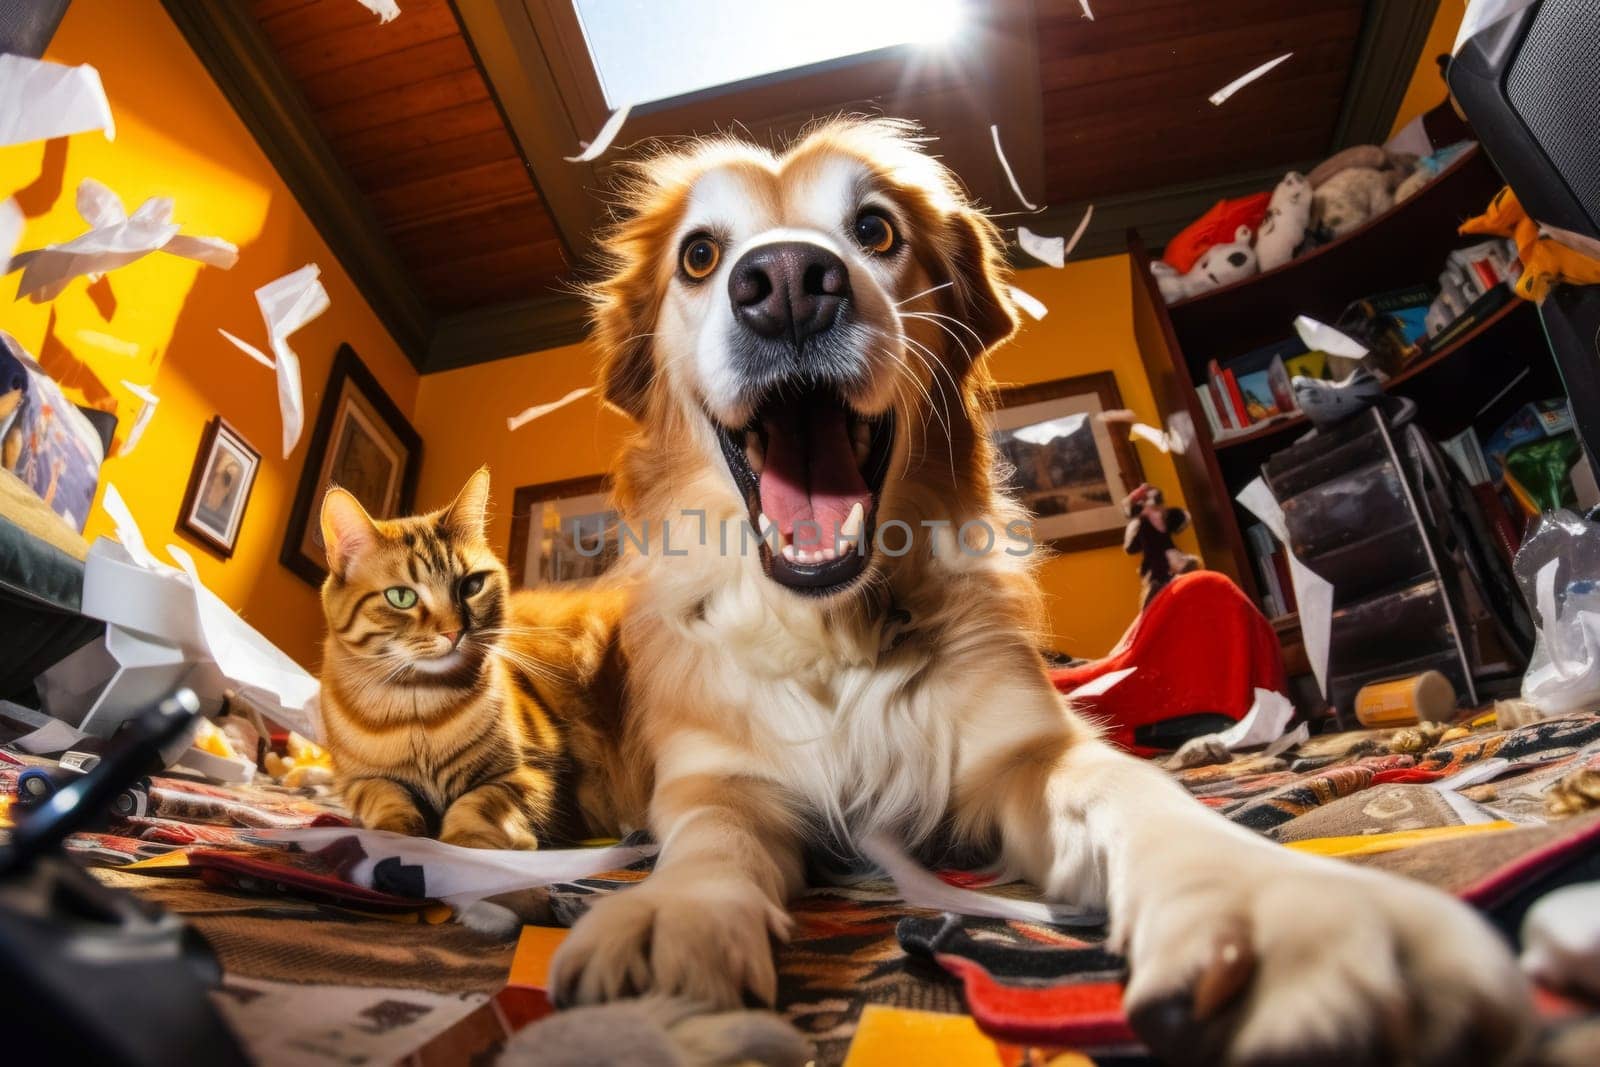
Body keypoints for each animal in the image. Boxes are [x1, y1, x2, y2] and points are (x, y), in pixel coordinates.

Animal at [315, 467, 646, 851]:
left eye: (470, 586)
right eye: (401, 597)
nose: (454, 631)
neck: (419, 713)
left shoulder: (531, 772)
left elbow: (478, 806)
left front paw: (459, 846)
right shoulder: (359, 781)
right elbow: (385, 797)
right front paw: (395, 835)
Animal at [547, 120, 1523, 1062]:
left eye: (875, 230)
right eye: (698, 255)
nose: (788, 283)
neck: (836, 632)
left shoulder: (1027, 751)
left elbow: (1136, 790)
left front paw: (1269, 904)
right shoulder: (716, 777)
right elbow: (713, 834)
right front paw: (672, 920)